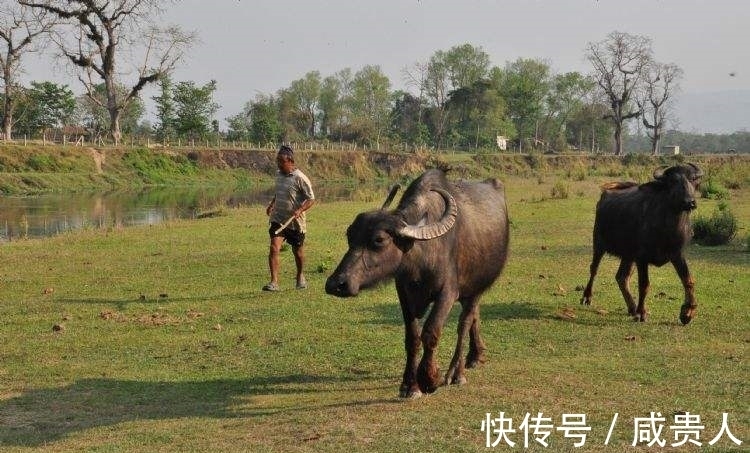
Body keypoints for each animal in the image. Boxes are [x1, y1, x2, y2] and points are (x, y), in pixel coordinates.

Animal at [324, 169, 512, 396]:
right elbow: (412, 337)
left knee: (464, 322)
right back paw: (475, 356)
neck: (422, 255)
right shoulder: (403, 292)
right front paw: (409, 385)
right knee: (474, 316)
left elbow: (431, 331)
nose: (336, 284)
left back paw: (457, 373)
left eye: (379, 240)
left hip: (479, 286)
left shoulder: (447, 292)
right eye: (350, 236)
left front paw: (429, 378)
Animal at [580, 162, 704, 324]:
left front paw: (688, 311)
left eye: (693, 179)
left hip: (627, 255)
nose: (689, 202)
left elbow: (688, 280)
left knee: (622, 277)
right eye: (672, 181)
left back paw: (632, 307)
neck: (667, 226)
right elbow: (644, 284)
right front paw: (641, 313)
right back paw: (587, 297)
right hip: (598, 244)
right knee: (594, 269)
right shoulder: (641, 258)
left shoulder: (677, 254)